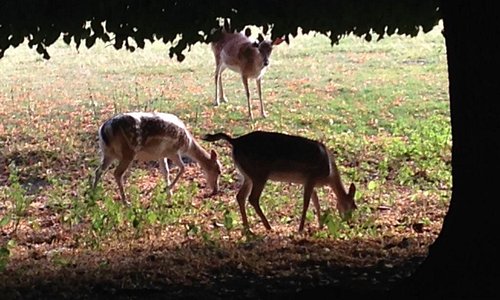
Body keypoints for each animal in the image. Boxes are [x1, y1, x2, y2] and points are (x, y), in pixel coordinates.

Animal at [93, 111, 222, 203]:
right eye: (218, 170)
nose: (216, 190)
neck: (188, 144)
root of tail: (104, 129)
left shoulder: (161, 154)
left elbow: (166, 172)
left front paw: (169, 195)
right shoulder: (173, 151)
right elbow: (183, 168)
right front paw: (167, 190)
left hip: (107, 152)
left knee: (98, 170)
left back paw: (92, 193)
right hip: (128, 152)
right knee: (117, 173)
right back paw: (126, 202)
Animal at [201, 129, 358, 232]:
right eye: (352, 206)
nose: (349, 223)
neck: (328, 175)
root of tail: (235, 141)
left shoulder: (308, 182)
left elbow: (316, 202)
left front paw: (320, 225)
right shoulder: (311, 178)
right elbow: (307, 203)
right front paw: (301, 228)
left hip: (247, 175)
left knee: (240, 196)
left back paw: (248, 228)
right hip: (259, 174)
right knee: (252, 198)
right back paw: (268, 227)